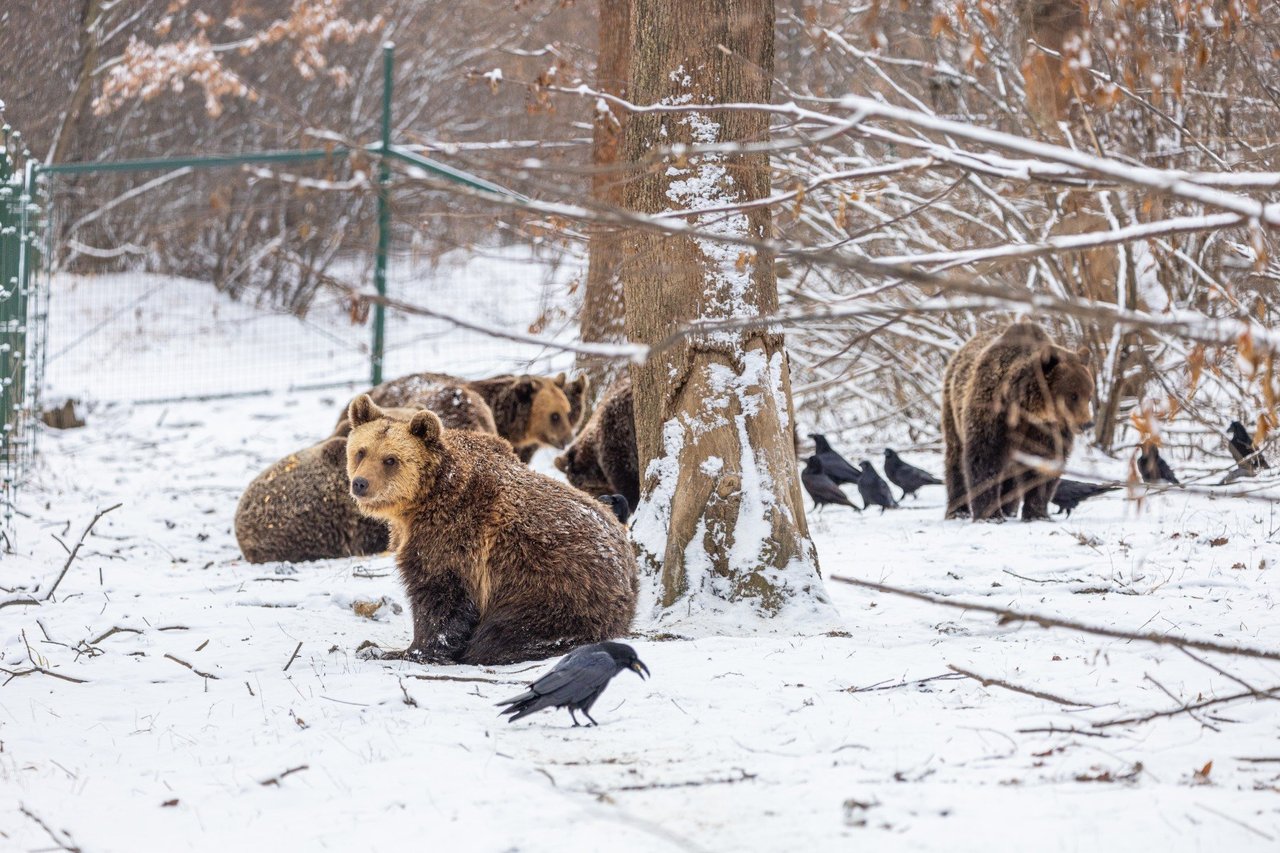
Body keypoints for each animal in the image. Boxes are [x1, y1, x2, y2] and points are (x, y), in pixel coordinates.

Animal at [345, 391, 640, 666]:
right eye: (361, 451)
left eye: (390, 459)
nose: (360, 483)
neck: (423, 500)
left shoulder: (454, 537)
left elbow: (440, 596)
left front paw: (399, 650)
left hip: (553, 586)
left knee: (508, 630)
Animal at [942, 318, 1090, 517]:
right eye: (1073, 395)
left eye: (1089, 395)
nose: (1087, 423)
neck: (1026, 409)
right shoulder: (992, 413)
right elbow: (984, 458)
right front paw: (990, 513)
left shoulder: (1048, 430)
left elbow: (1045, 463)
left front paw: (1037, 512)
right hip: (952, 407)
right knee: (956, 457)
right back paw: (958, 509)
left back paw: (1008, 508)